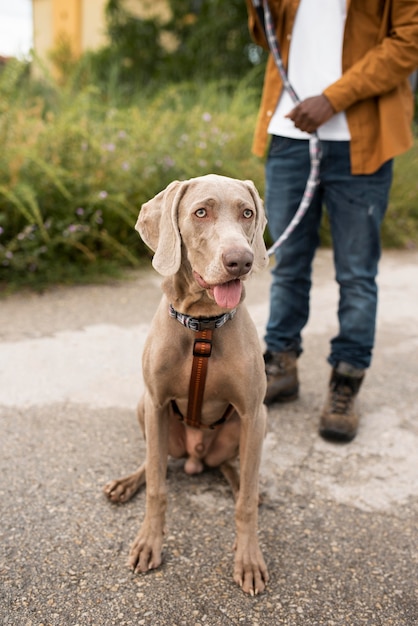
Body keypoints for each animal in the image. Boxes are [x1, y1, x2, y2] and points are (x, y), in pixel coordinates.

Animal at [103, 173, 270, 592]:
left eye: (247, 213)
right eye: (201, 212)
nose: (241, 260)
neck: (204, 325)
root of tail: (196, 456)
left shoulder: (252, 411)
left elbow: (245, 504)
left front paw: (248, 559)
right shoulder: (156, 402)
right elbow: (157, 488)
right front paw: (148, 543)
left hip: (256, 424)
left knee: (236, 468)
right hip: (145, 411)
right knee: (156, 460)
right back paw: (127, 482)